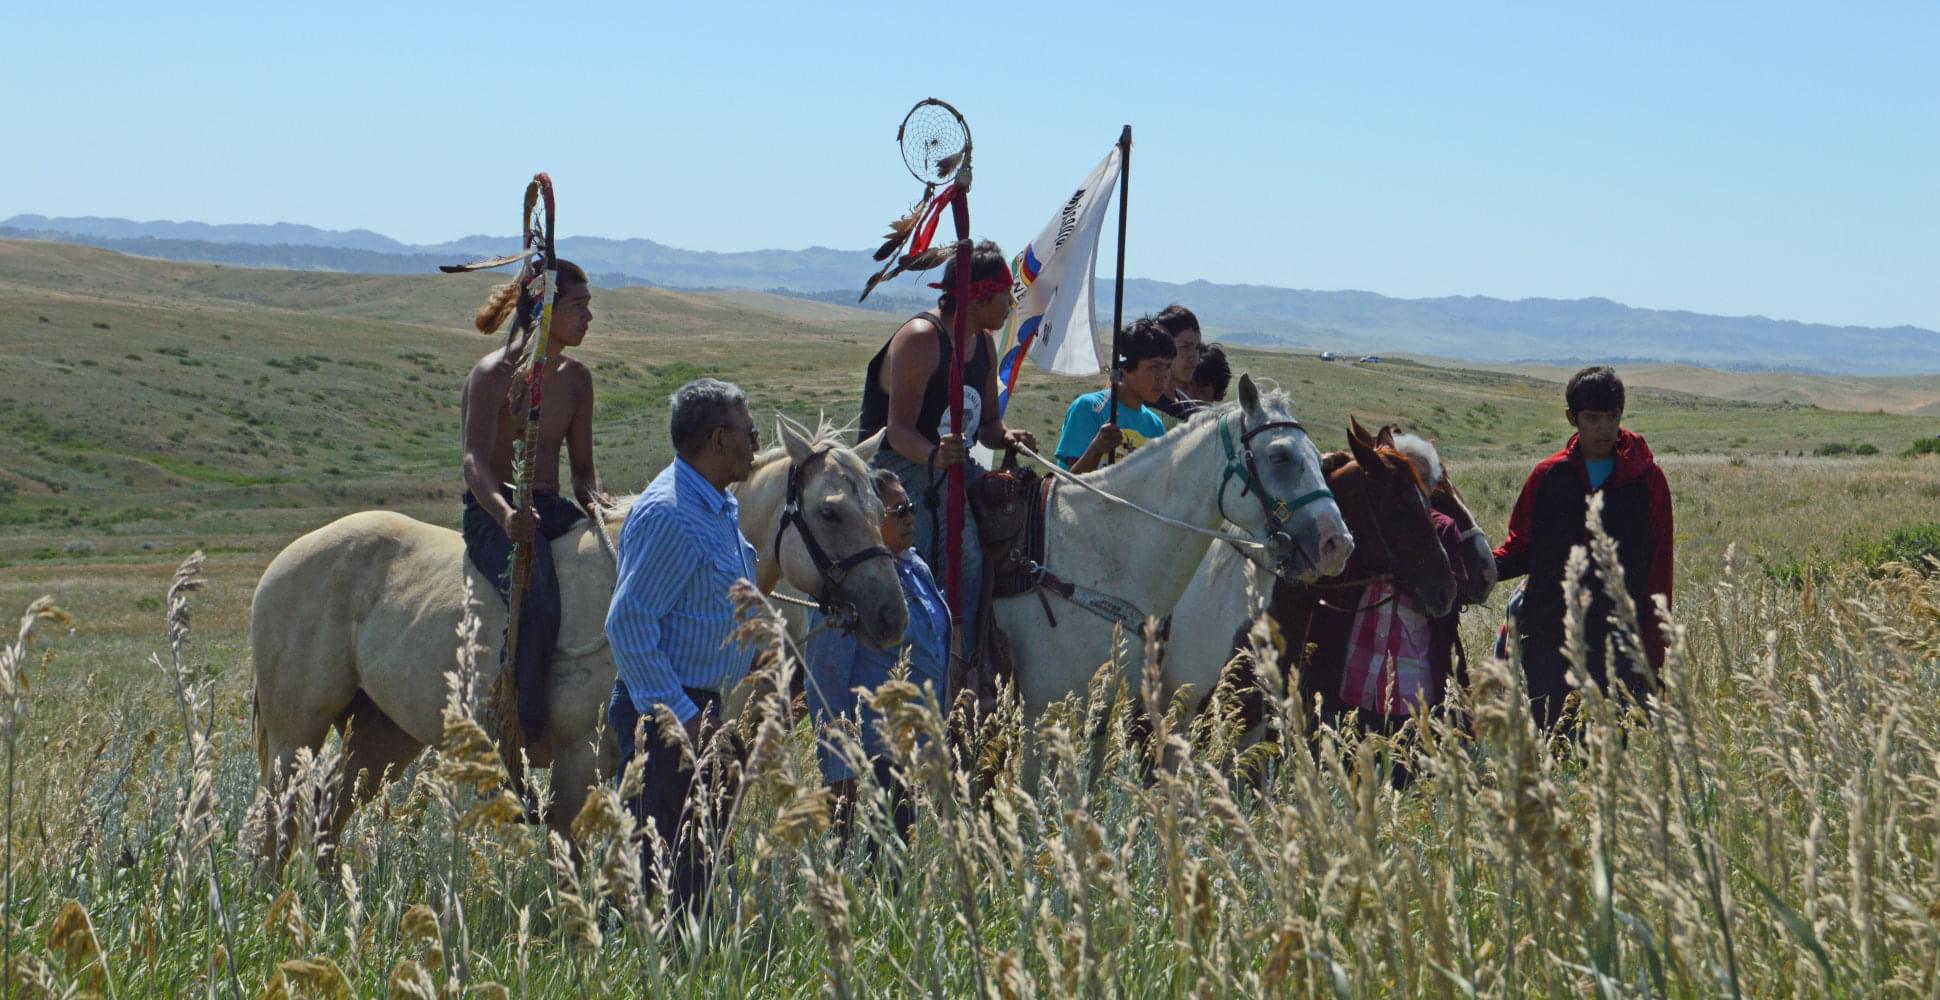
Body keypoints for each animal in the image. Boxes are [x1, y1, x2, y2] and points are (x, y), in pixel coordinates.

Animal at [248, 421, 900, 854]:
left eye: (879, 505)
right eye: (831, 511)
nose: (890, 614)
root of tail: (284, 562)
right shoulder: (577, 762)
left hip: (381, 735)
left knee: (329, 812)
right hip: (293, 735)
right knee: (279, 820)